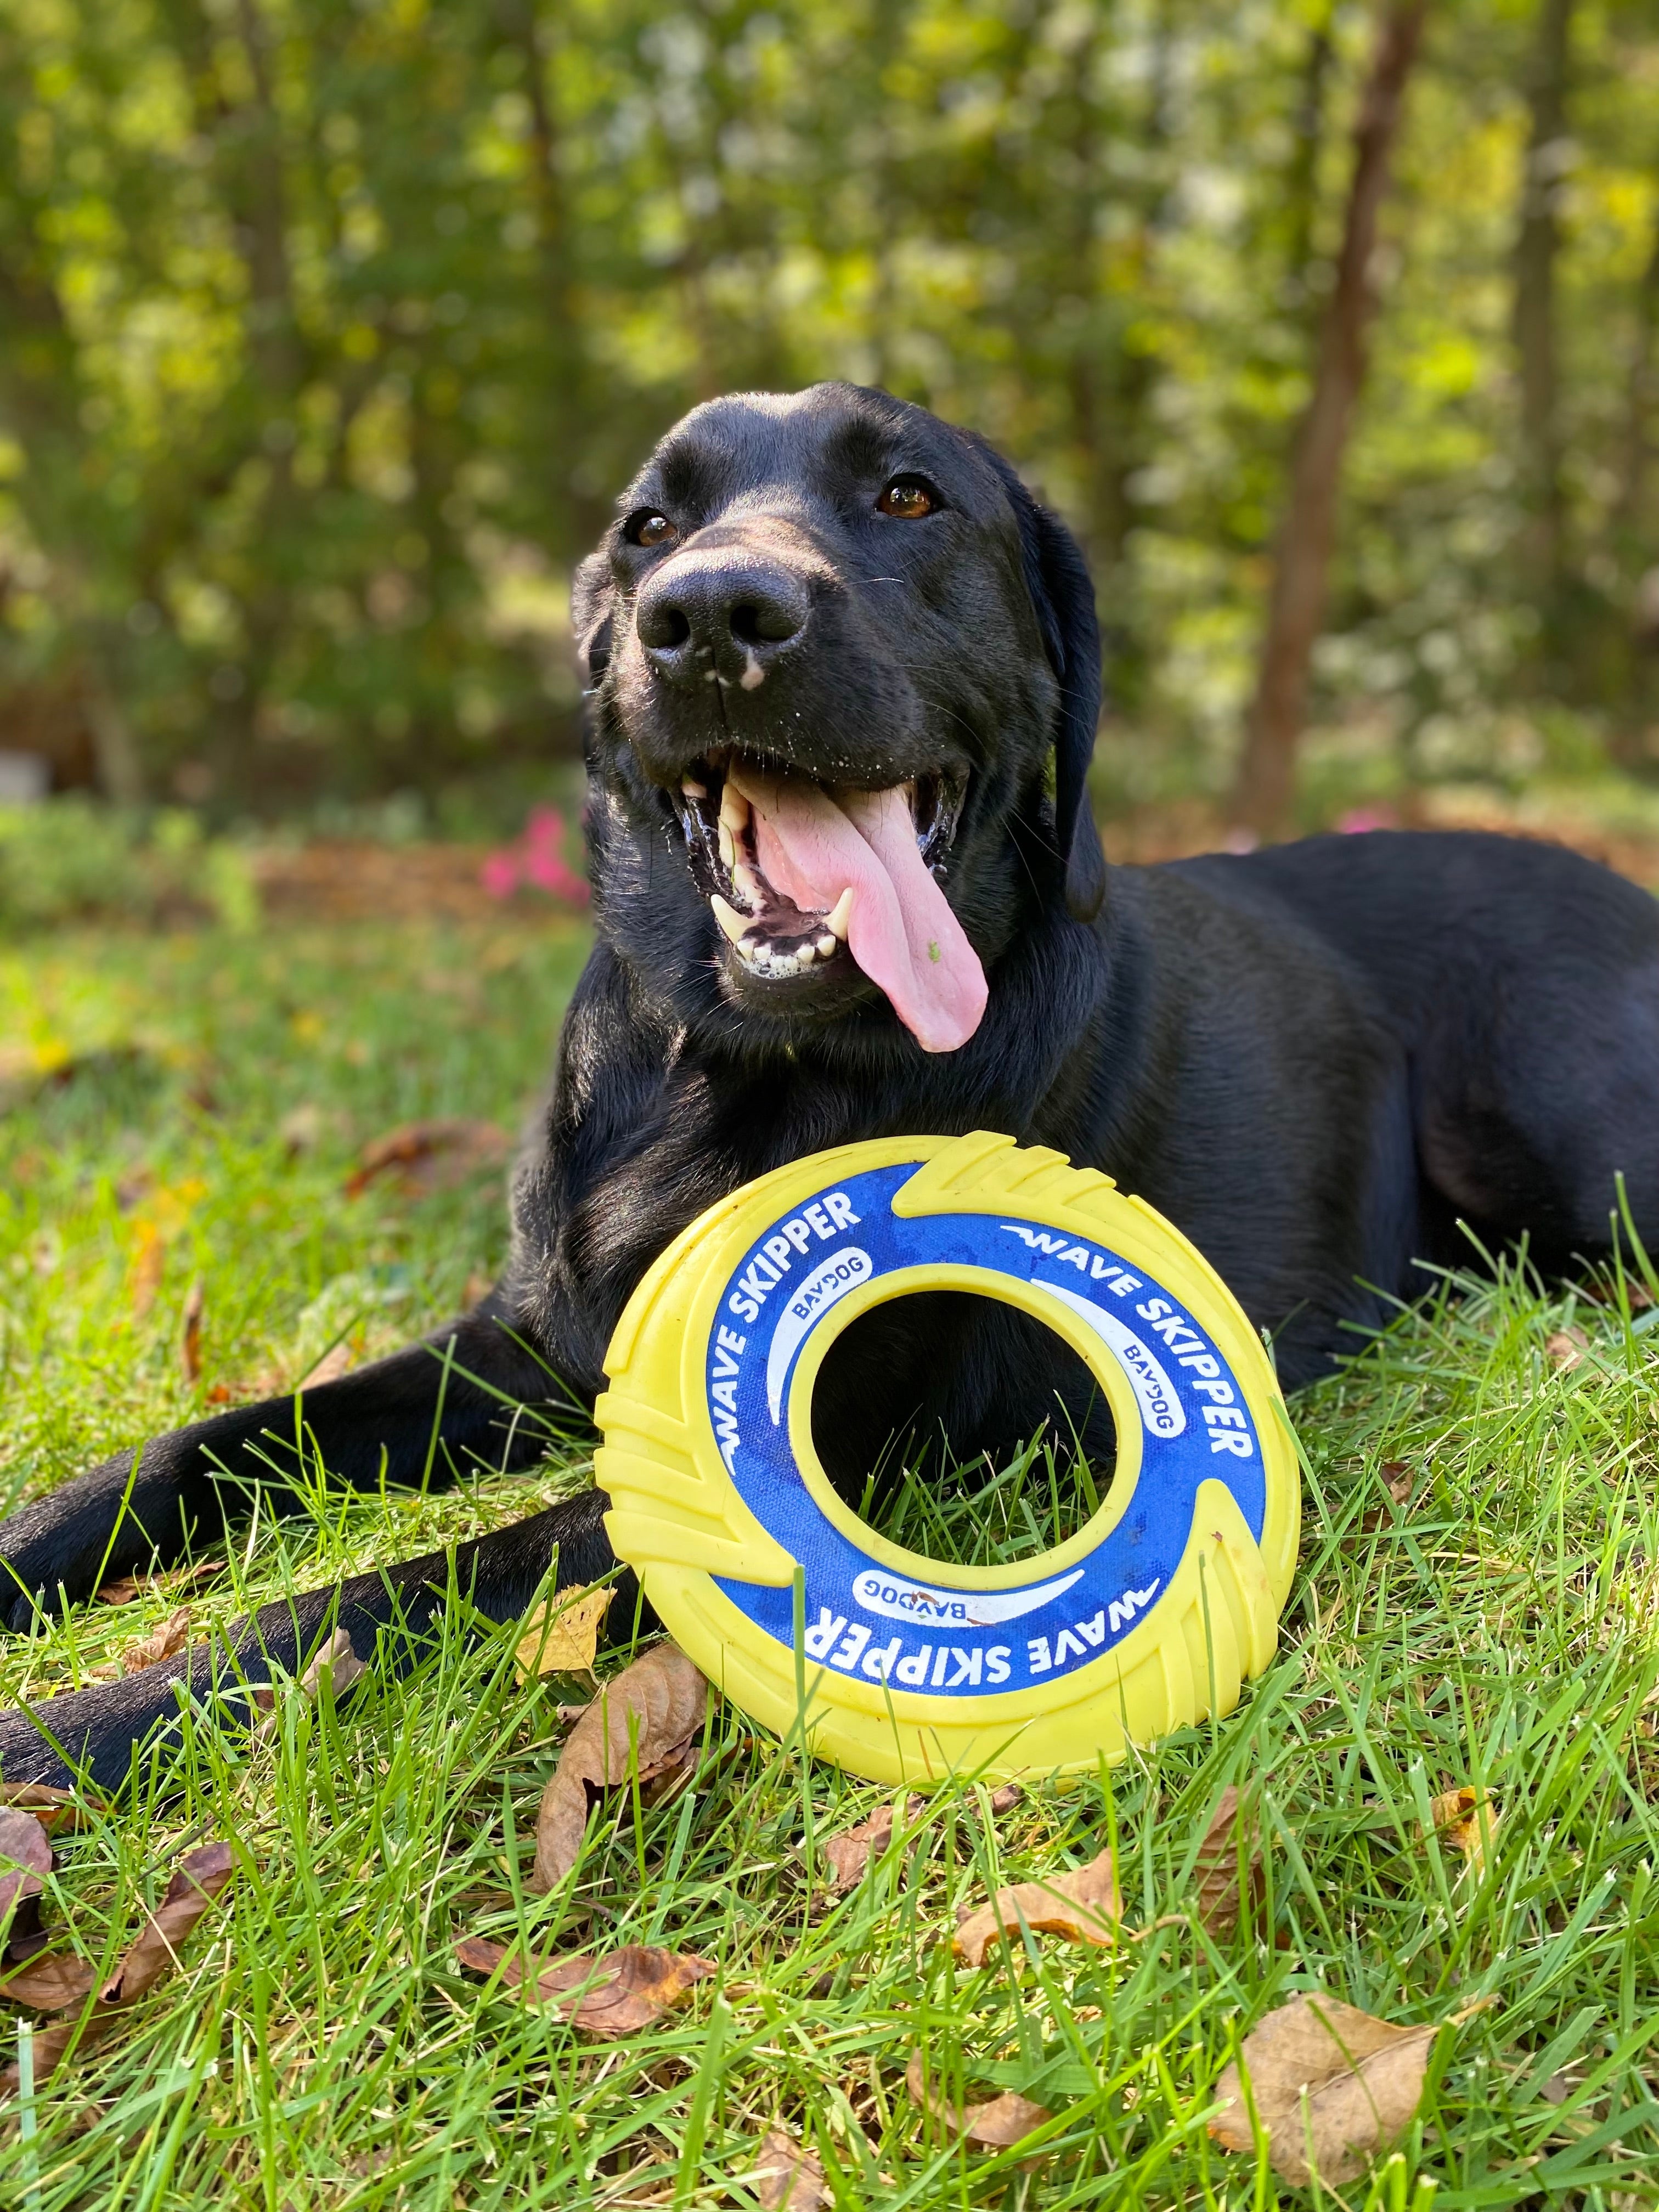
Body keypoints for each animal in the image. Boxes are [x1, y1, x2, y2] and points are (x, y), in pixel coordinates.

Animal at [3, 385, 1659, 1796]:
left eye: (910, 495)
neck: (727, 1066)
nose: (712, 617)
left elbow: (362, 1599)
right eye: (647, 529)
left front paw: (75, 1729)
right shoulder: (534, 1344)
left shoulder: (787, 1455)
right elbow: (201, 1446)